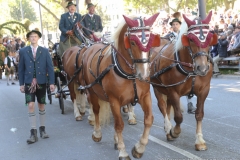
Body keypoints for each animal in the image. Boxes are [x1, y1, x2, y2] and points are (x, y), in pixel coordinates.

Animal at [79, 14, 160, 159]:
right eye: (132, 42)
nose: (144, 74)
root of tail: (91, 46)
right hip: (93, 92)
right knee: (96, 111)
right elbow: (119, 125)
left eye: (151, 41)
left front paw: (139, 148)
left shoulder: (145, 96)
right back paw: (97, 133)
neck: (130, 74)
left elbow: (149, 119)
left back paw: (116, 140)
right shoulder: (114, 100)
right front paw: (123, 151)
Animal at [151, 10, 217, 150]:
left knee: (168, 106)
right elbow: (178, 117)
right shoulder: (173, 91)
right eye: (191, 39)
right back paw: (168, 128)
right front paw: (174, 131)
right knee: (162, 107)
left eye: (209, 37)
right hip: (157, 87)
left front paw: (199, 140)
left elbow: (199, 114)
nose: (202, 68)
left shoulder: (204, 91)